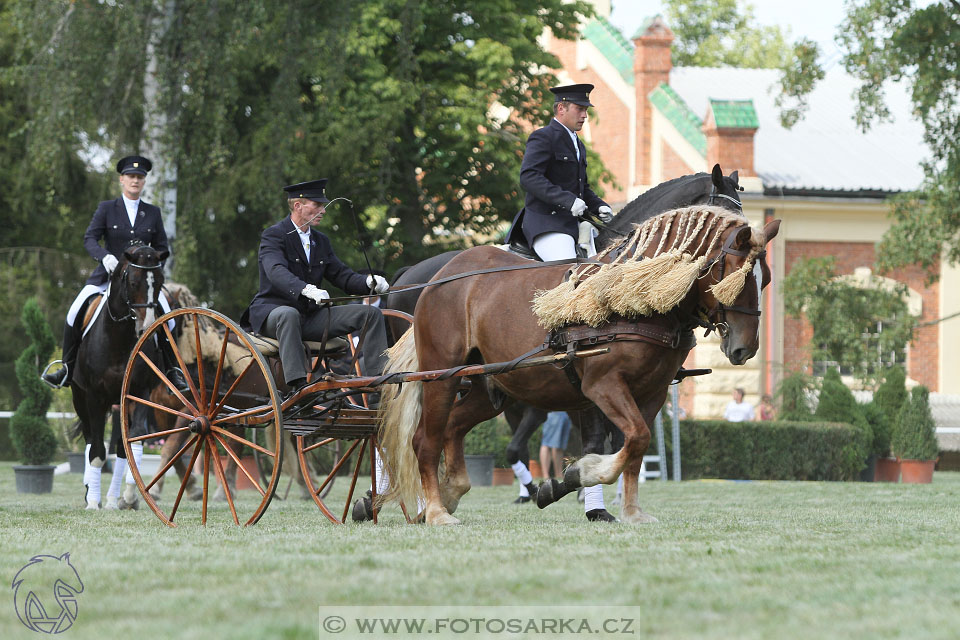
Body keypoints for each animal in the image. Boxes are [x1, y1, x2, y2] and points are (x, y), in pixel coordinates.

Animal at [70, 240, 168, 500]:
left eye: (160, 282)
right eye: (133, 282)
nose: (147, 328)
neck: (119, 339)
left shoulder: (140, 392)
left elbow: (133, 441)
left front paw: (128, 496)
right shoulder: (94, 396)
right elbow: (96, 450)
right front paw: (93, 501)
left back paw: (114, 499)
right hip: (80, 398)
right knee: (89, 438)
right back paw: (89, 490)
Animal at [382, 164, 744, 516]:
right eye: (724, 214)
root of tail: (409, 276)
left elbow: (607, 440)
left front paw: (584, 491)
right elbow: (587, 442)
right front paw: (585, 498)